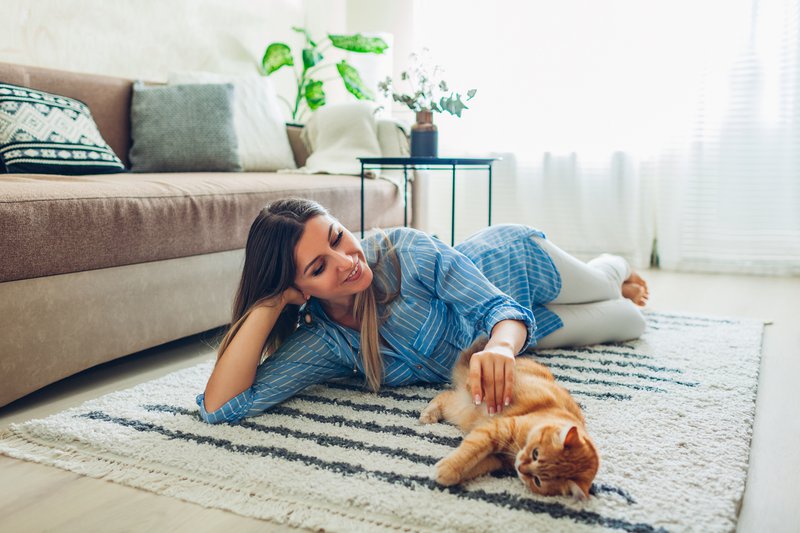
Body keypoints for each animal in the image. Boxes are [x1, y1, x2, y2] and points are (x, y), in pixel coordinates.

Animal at [422, 338, 596, 496]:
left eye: (537, 481)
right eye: (536, 453)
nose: (520, 467)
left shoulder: (496, 459)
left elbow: (474, 465)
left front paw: (451, 475)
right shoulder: (497, 429)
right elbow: (469, 452)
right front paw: (447, 469)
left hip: (461, 410)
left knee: (445, 396)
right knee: (443, 396)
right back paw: (427, 415)